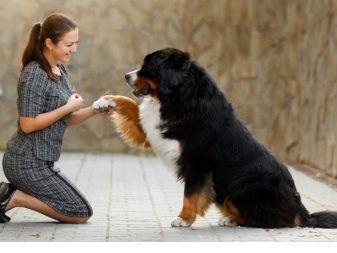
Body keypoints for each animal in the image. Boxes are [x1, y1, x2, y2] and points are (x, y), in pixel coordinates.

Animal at [92, 47, 336, 229]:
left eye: (148, 67)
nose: (126, 75)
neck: (179, 98)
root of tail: (300, 208)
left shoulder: (196, 161)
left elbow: (190, 194)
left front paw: (183, 219)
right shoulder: (153, 131)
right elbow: (130, 104)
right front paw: (105, 102)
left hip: (241, 187)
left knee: (271, 220)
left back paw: (231, 219)